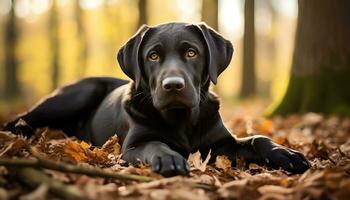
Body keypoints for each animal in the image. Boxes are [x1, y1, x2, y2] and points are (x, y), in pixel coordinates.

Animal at [2, 22, 308, 177]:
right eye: (153, 55)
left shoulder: (220, 144)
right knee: (20, 120)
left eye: (192, 53)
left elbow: (257, 139)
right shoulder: (132, 146)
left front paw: (287, 154)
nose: (173, 85)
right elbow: (155, 144)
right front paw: (169, 158)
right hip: (77, 94)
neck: (182, 119)